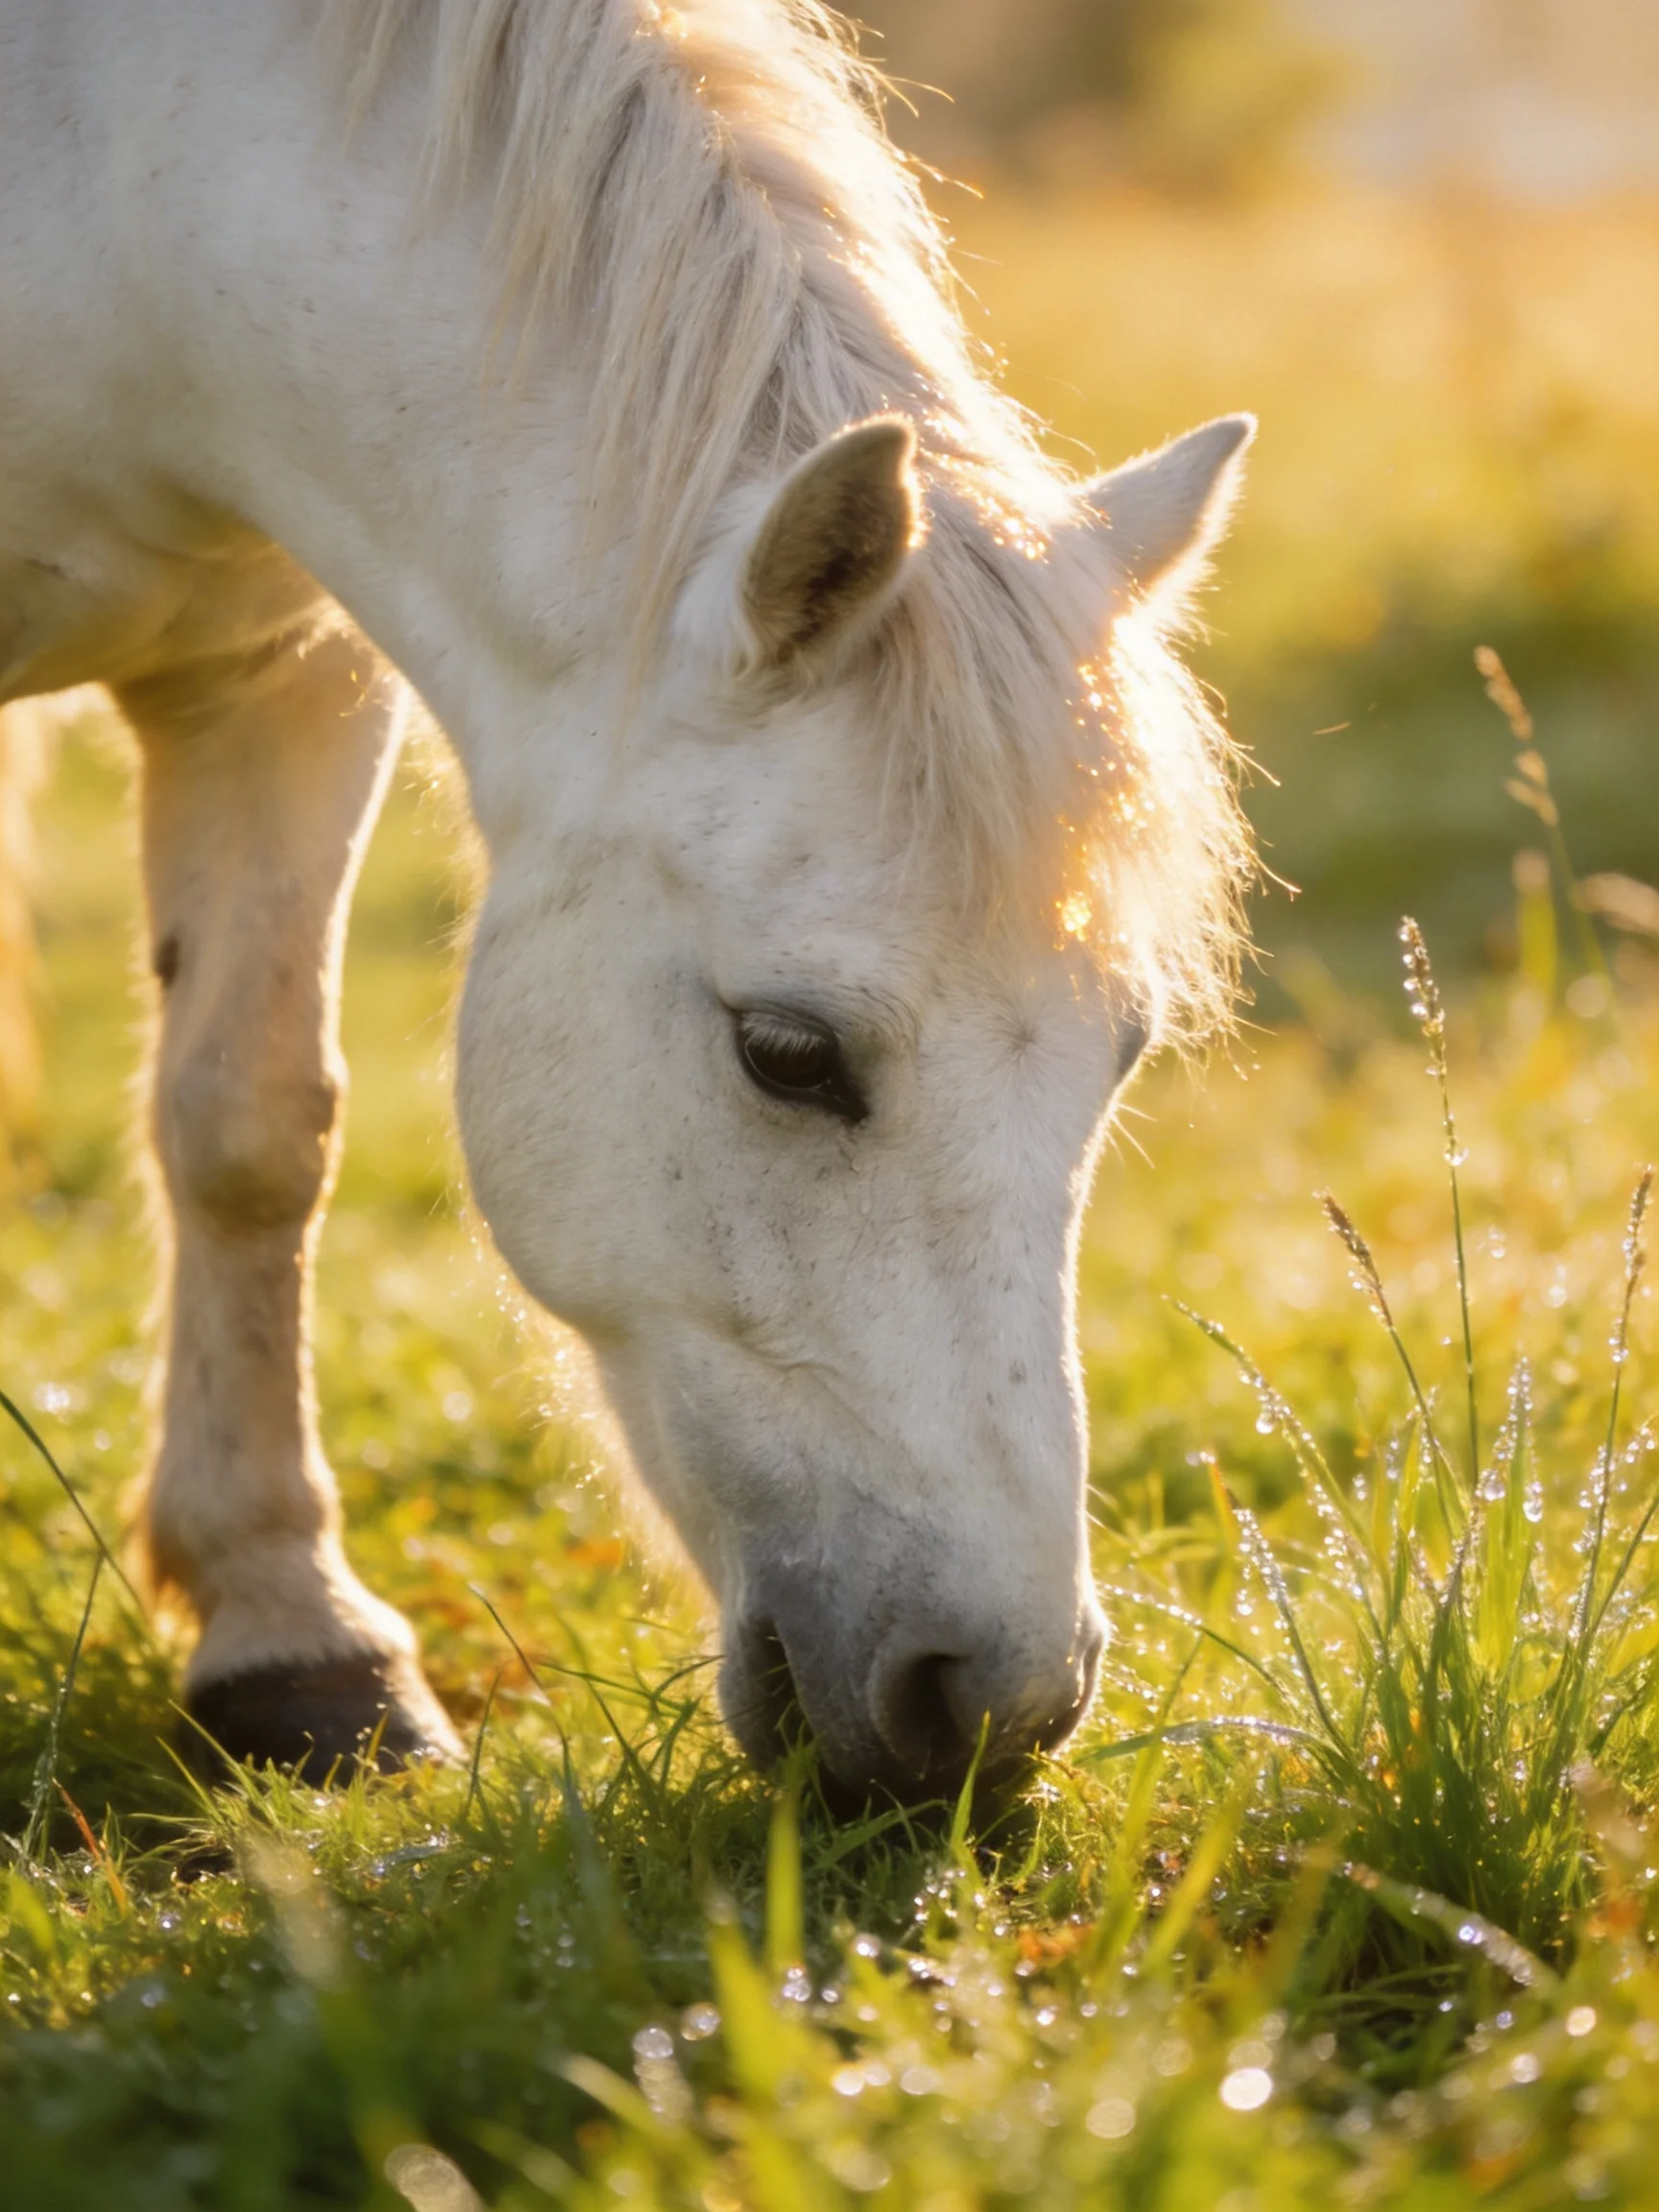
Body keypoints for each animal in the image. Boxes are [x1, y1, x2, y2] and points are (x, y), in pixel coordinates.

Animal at [0, 0, 1253, 1802]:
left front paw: (294, 1639)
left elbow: (249, 1126)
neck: (118, 183)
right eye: (787, 1052)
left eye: (1122, 1055)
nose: (993, 1706)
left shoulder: (279, 674)